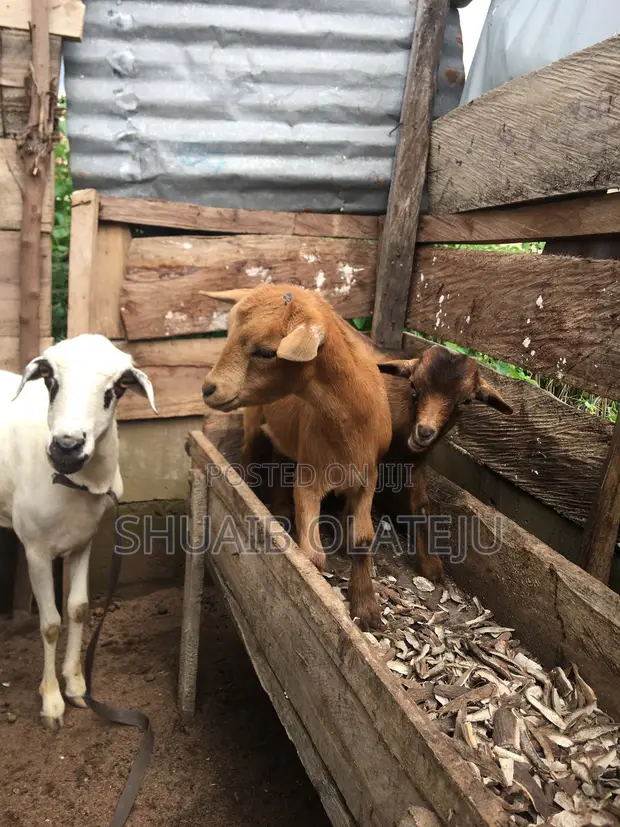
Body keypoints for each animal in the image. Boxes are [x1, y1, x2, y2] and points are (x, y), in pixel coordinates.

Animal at [0, 334, 156, 728]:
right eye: (50, 380)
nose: (67, 447)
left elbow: (79, 609)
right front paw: (52, 702)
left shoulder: (83, 539)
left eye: (115, 389)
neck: (71, 482)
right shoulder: (36, 550)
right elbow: (50, 624)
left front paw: (75, 686)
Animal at [201, 284, 392, 630]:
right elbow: (313, 556)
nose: (208, 388)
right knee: (250, 457)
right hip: (253, 419)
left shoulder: (368, 477)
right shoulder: (309, 477)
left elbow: (362, 539)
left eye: (266, 352)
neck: (350, 427)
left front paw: (367, 607)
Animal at [377, 343, 513, 582]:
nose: (424, 432)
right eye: (413, 385)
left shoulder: (416, 464)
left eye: (467, 400)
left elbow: (421, 505)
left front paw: (431, 565)